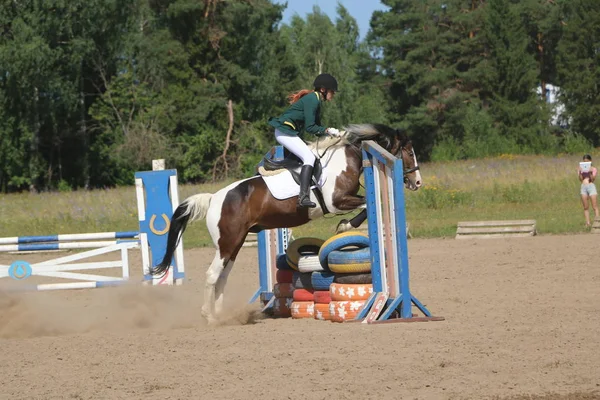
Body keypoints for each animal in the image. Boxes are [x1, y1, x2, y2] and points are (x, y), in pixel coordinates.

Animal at [150, 123, 422, 324]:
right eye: (409, 152)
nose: (417, 182)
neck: (345, 159)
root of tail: (213, 198)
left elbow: (366, 205)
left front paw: (345, 225)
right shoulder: (336, 202)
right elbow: (365, 206)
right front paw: (345, 226)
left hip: (234, 244)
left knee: (222, 277)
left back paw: (221, 315)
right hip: (228, 243)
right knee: (212, 275)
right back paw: (210, 317)